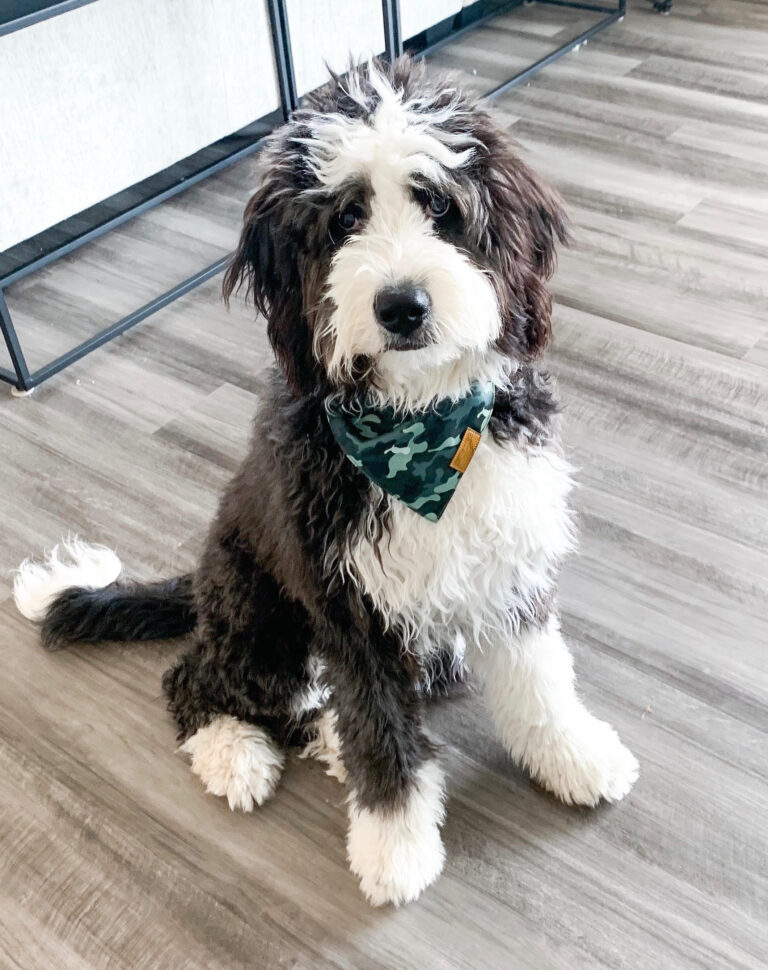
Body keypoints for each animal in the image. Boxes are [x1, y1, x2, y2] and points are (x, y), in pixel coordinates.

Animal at [12, 56, 640, 904]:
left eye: (438, 203)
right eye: (344, 220)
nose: (402, 305)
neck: (419, 418)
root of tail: (201, 582)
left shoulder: (505, 560)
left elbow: (540, 679)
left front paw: (575, 756)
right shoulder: (347, 602)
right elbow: (379, 727)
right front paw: (394, 847)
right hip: (260, 616)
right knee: (195, 679)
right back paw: (236, 755)